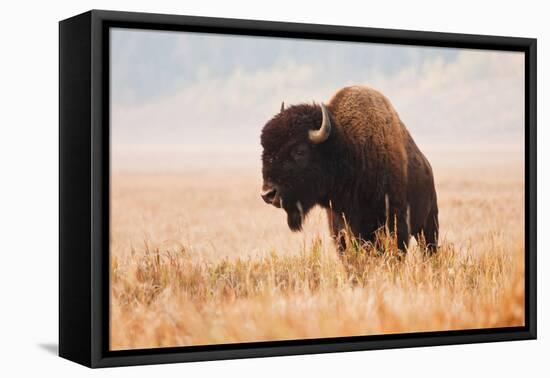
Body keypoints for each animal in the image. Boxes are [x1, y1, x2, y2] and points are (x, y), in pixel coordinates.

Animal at [262, 84, 440, 252]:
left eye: (300, 151)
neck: (349, 148)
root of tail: (428, 166)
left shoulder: (396, 225)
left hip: (429, 225)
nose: (268, 194)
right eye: (264, 149)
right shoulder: (340, 228)